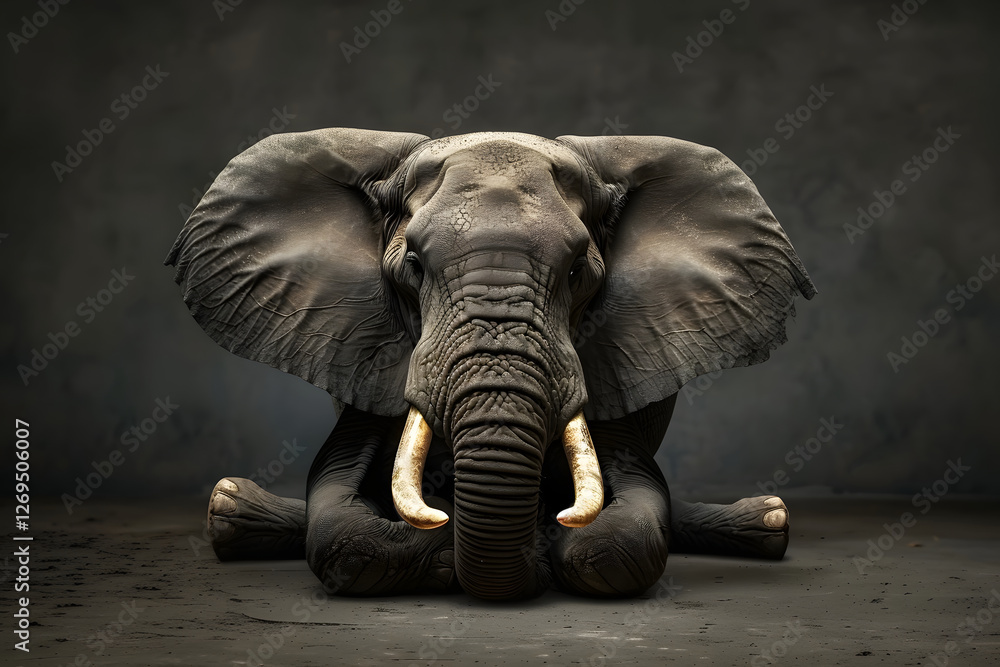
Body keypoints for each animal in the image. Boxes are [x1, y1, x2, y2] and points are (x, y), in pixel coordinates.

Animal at [165, 128, 816, 601]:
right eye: (414, 268)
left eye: (578, 272)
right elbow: (342, 528)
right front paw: (450, 549)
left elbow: (623, 536)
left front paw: (546, 542)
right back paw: (230, 505)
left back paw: (767, 518)